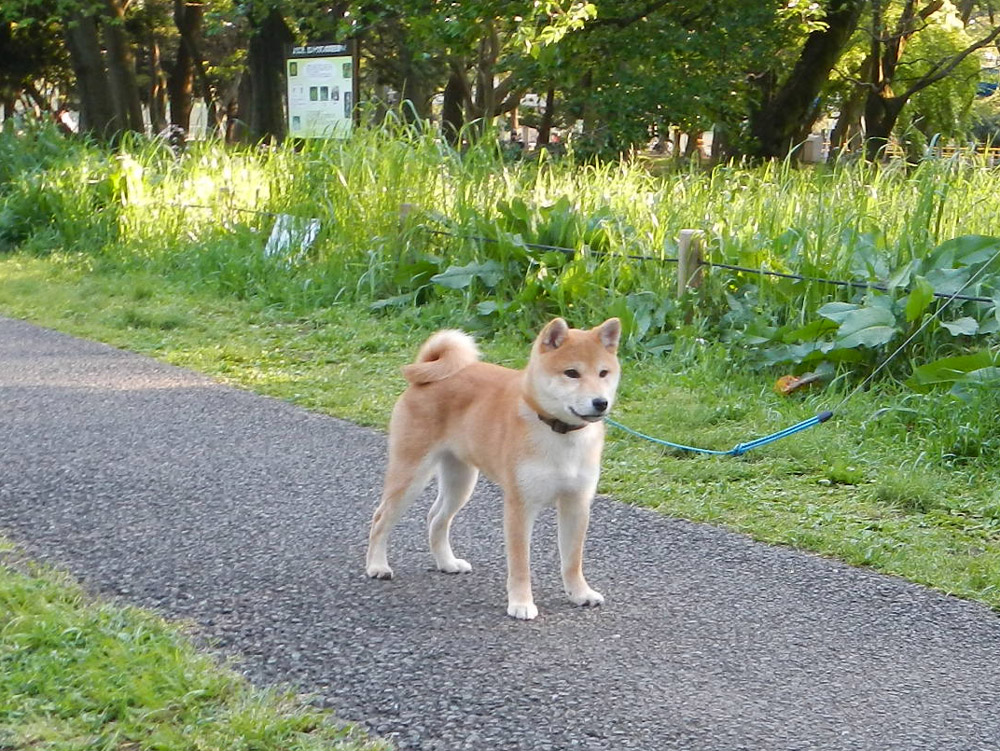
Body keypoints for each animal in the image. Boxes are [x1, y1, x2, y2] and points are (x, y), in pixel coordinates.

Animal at [364, 314, 620, 620]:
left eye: (603, 373)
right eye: (572, 373)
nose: (600, 402)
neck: (561, 435)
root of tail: (428, 375)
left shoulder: (577, 503)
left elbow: (572, 560)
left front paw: (580, 594)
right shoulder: (520, 506)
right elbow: (520, 564)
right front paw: (521, 603)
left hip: (461, 480)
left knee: (436, 518)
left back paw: (447, 562)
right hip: (411, 474)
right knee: (381, 517)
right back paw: (377, 565)